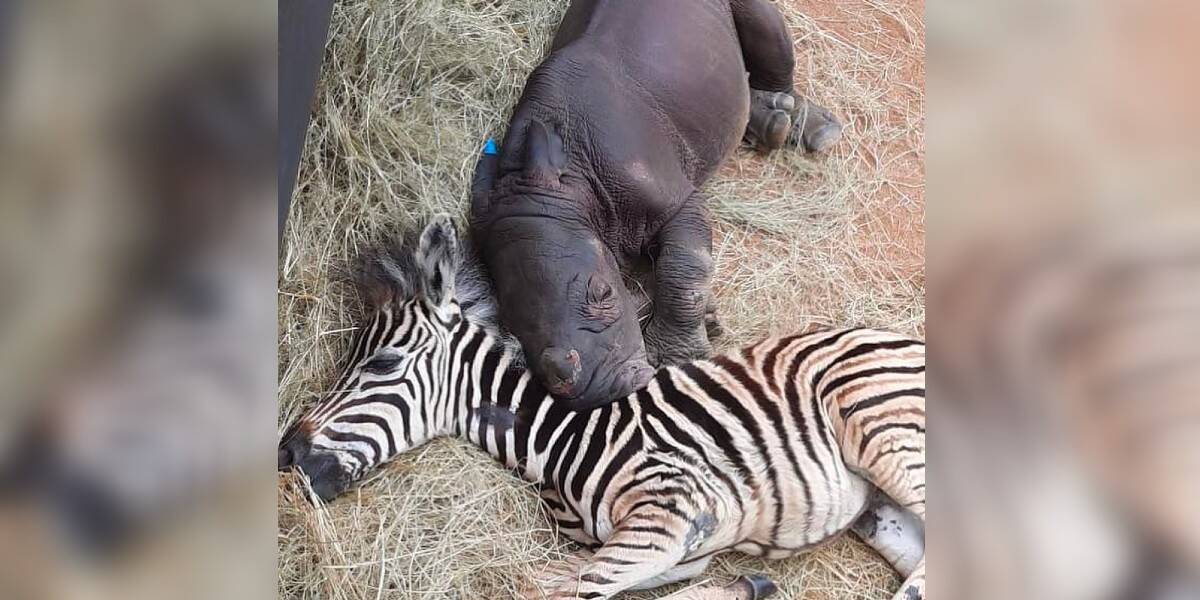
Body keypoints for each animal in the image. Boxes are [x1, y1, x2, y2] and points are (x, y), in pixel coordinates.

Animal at [278, 215, 926, 600]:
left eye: (382, 363)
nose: (286, 455)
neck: (563, 442)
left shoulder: (672, 513)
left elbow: (555, 589)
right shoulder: (673, 551)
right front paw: (747, 587)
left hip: (882, 428)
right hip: (881, 512)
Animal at [471, 0, 842, 409]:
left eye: (603, 293)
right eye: (512, 328)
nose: (596, 390)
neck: (571, 186)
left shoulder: (676, 202)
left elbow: (684, 270)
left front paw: (676, 358)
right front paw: (707, 320)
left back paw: (803, 127)